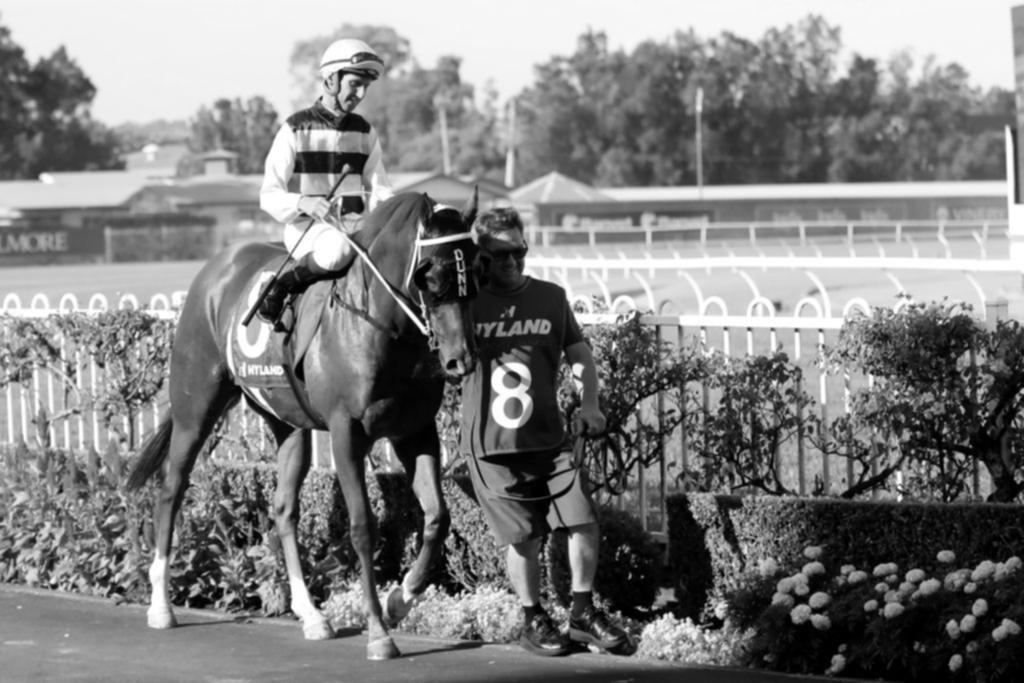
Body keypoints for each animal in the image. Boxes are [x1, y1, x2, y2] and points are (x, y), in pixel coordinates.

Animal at [125, 189, 477, 659]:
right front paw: (379, 631)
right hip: (194, 410)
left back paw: (311, 614)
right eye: (429, 276)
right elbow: (362, 525)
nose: (461, 360)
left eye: (475, 270)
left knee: (284, 508)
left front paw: (400, 600)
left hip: (287, 424)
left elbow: (438, 518)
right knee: (171, 489)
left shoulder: (416, 430)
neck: (381, 326)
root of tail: (217, 267)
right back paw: (161, 605)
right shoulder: (348, 433)